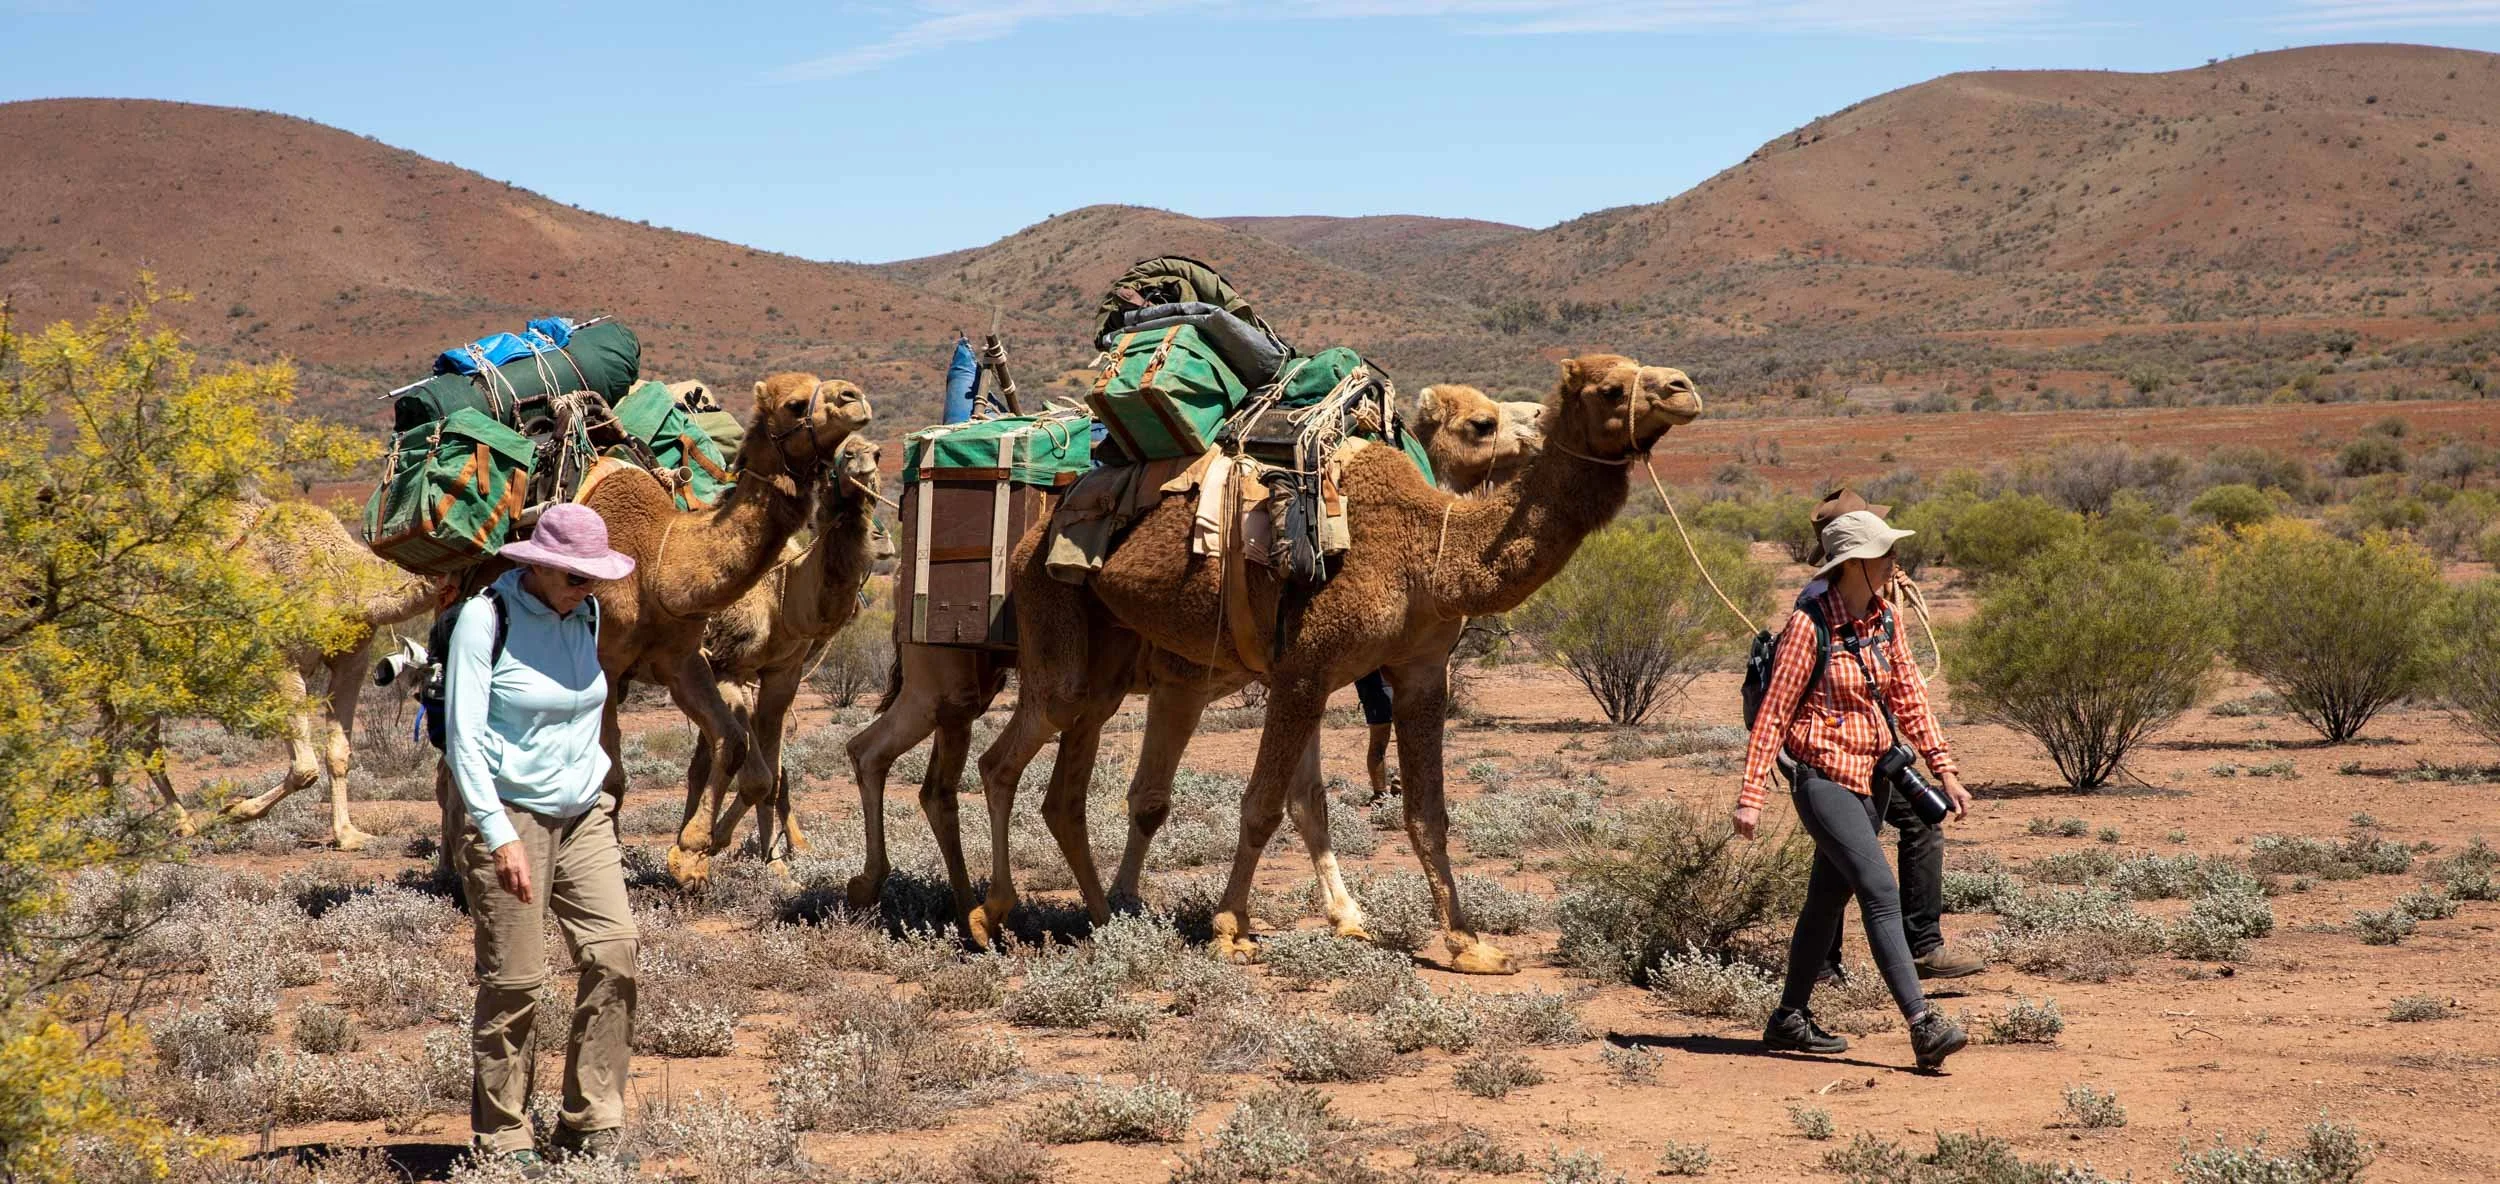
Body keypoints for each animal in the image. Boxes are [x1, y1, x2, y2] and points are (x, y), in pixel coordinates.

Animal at [144, 497, 446, 849]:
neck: (343, 577)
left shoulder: (352, 660)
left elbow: (338, 754)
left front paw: (348, 835)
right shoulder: (281, 660)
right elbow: (304, 767)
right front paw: (233, 810)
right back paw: (182, 823)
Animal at [427, 374, 873, 867]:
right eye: (795, 404)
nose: (854, 397)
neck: (658, 560)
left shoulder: (685, 660)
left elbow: (735, 746)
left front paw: (693, 855)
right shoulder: (610, 665)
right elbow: (612, 779)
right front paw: (616, 857)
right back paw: (453, 868)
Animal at [666, 433, 889, 882]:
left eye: (877, 453)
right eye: (839, 453)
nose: (860, 458)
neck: (781, 592)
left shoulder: (782, 674)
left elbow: (770, 775)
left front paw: (773, 862)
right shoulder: (727, 665)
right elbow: (755, 773)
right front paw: (706, 847)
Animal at [840, 382, 1531, 941]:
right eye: (1482, 423)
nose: (1536, 424)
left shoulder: (1280, 673)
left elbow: (1303, 799)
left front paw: (1346, 916)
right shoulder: (1188, 681)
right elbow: (1152, 800)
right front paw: (1135, 901)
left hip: (1000, 684)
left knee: (920, 770)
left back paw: (954, 902)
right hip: (954, 670)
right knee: (901, 756)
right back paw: (928, 898)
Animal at [986, 355, 1699, 974]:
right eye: (1611, 388)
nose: (1683, 388)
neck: (1429, 550)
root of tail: (1038, 530)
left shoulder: (1404, 673)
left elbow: (1412, 812)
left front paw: (1465, 943)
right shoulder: (1304, 670)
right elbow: (1263, 805)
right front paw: (1230, 931)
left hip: (1109, 670)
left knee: (1068, 791)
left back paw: (1103, 915)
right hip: (1056, 628)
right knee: (1001, 760)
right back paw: (992, 913)